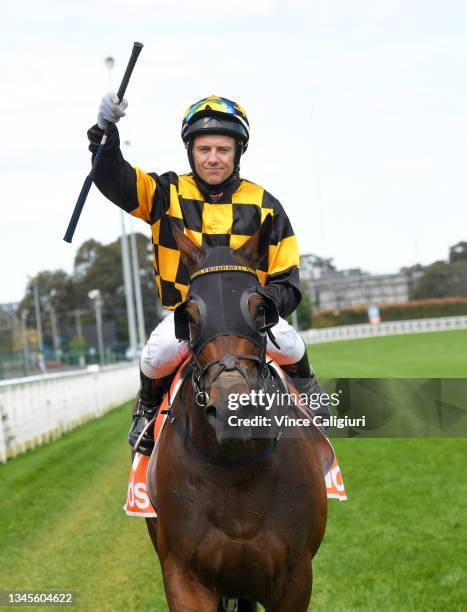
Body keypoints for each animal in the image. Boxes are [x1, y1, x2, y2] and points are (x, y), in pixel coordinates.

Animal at [145, 218, 326, 612]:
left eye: (260, 309)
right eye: (189, 316)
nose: (234, 408)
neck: (236, 471)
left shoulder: (294, 576)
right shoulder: (184, 578)